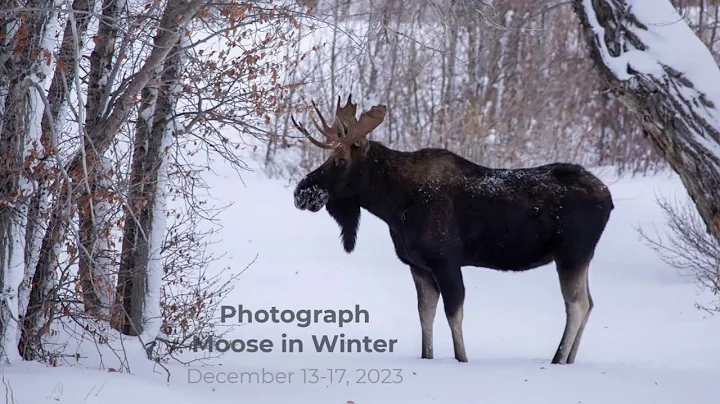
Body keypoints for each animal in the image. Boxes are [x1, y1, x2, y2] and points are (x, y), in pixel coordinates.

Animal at [290, 95, 614, 365]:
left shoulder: (446, 261)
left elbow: (453, 314)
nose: (301, 192)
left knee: (577, 304)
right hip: (580, 257)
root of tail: (608, 198)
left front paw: (462, 360)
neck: (393, 206)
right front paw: (427, 357)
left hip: (572, 252)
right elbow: (425, 314)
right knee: (590, 302)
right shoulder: (418, 265)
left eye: (339, 160)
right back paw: (569, 360)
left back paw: (558, 359)